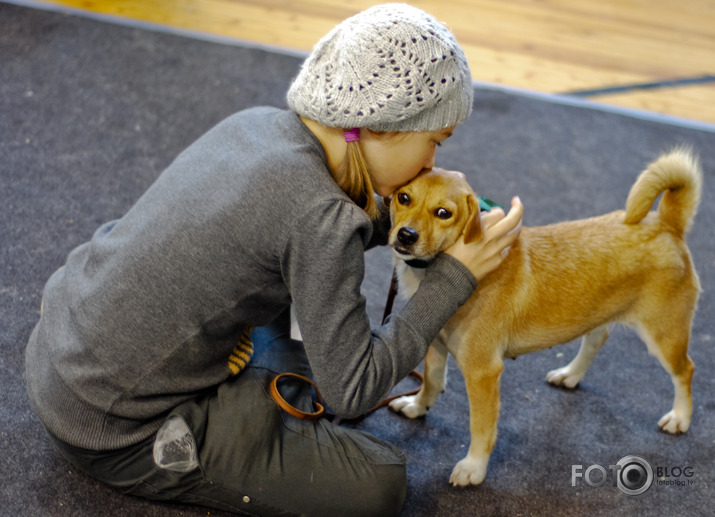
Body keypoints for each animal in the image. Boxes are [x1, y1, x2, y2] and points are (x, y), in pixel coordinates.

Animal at [388, 148, 704, 484]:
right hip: (598, 313)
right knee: (598, 338)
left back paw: (680, 417)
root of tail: (668, 222)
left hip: (664, 334)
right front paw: (417, 406)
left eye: (443, 213)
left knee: (686, 370)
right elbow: (432, 382)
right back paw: (571, 374)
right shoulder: (434, 344)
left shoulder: (483, 372)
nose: (406, 235)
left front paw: (473, 467)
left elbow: (481, 428)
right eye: (404, 197)